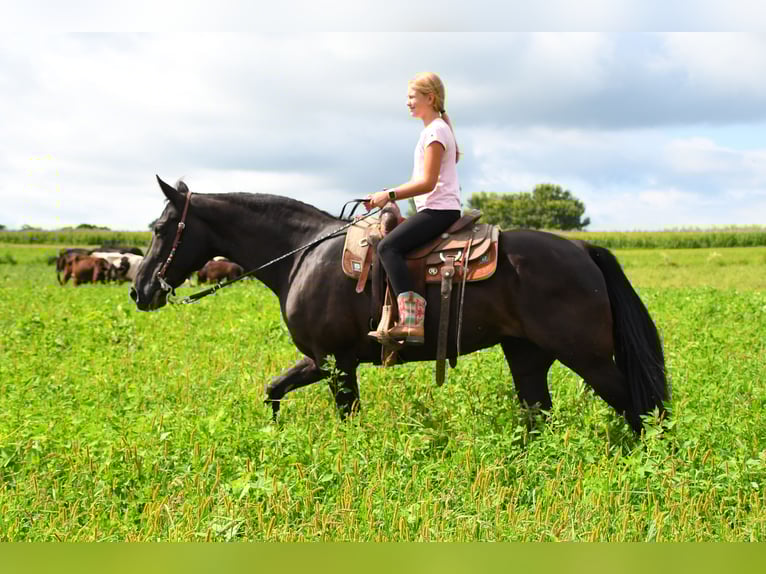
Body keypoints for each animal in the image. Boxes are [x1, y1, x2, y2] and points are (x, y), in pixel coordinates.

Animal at [131, 176, 668, 434]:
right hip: (527, 355)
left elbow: (346, 416)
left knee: (641, 408)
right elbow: (273, 389)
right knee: (540, 413)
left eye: (161, 228)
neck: (300, 253)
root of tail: (582, 250)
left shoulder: (335, 362)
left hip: (589, 357)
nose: (139, 290)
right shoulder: (318, 359)